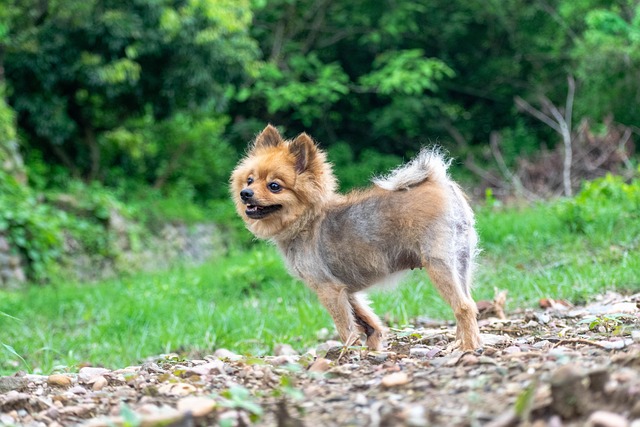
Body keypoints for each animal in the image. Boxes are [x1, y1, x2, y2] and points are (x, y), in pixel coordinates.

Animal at [230, 124, 480, 352]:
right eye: (250, 180)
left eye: (274, 186)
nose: (245, 194)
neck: (307, 221)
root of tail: (439, 182)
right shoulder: (346, 291)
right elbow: (367, 321)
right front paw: (371, 346)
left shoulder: (329, 290)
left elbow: (345, 327)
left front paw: (348, 352)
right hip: (461, 262)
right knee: (470, 303)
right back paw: (462, 343)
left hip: (438, 264)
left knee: (463, 307)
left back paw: (468, 347)